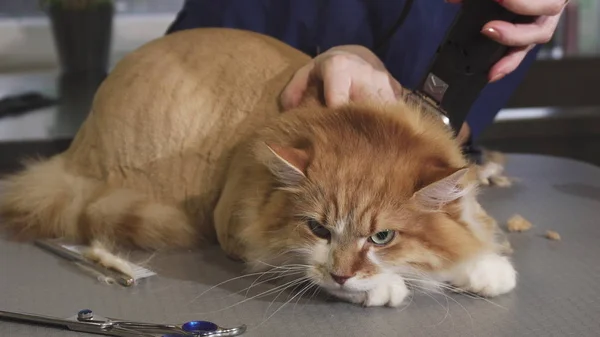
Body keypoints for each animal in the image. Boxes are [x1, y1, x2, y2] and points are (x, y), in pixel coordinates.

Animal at [0, 27, 516, 306]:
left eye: (382, 236)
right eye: (318, 230)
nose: (344, 274)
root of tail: (80, 141)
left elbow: (465, 236)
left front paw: (484, 266)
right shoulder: (240, 227)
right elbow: (303, 264)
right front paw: (384, 285)